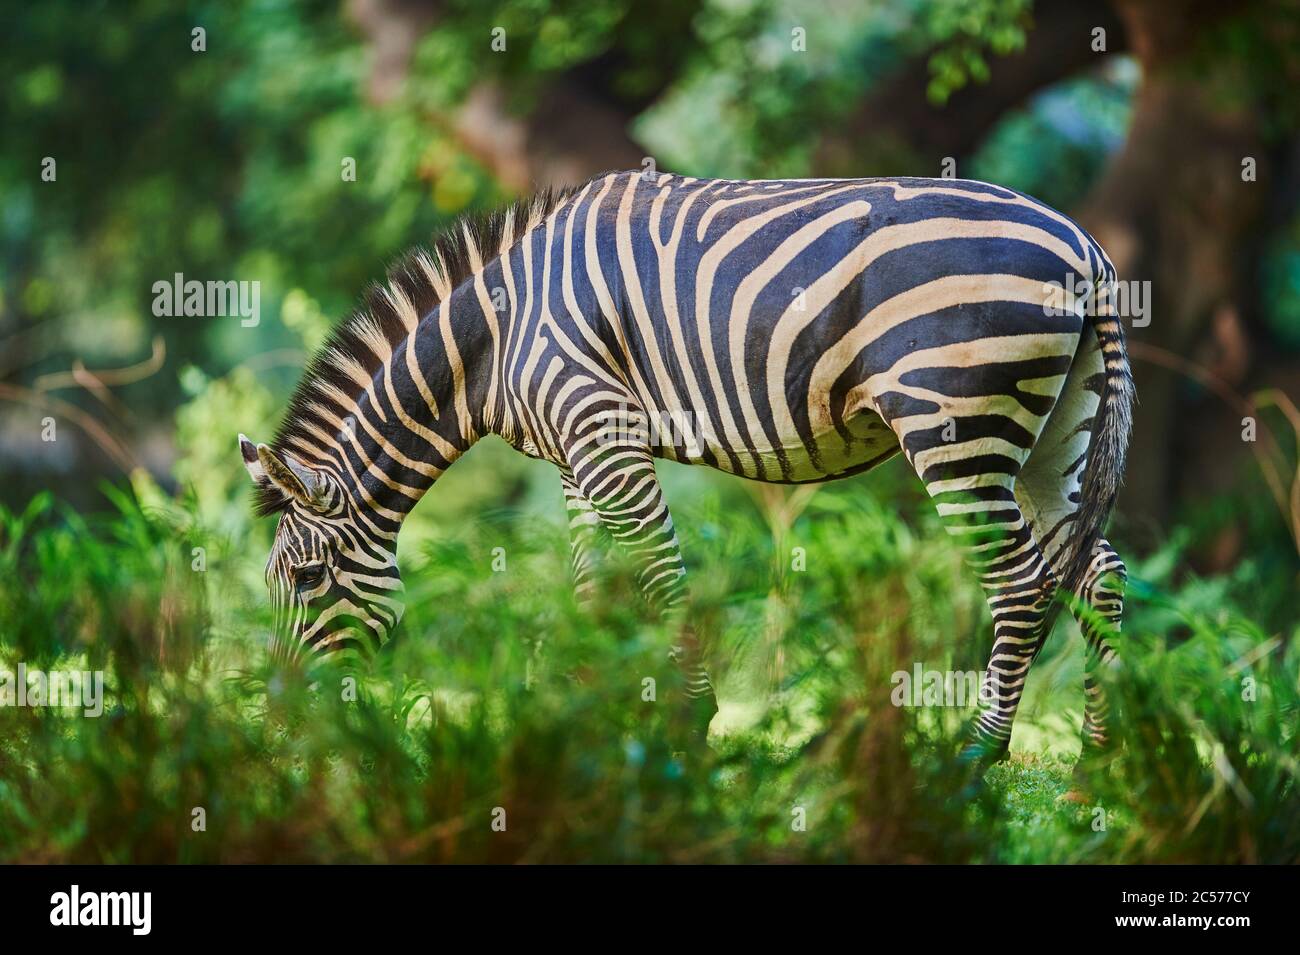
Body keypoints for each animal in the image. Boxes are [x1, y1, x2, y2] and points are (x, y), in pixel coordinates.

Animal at [239, 170, 1133, 769]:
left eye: (309, 580)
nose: (280, 730)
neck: (497, 336)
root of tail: (1084, 243)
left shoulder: (601, 428)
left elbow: (660, 577)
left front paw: (687, 724)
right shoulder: (572, 457)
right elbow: (593, 585)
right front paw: (593, 720)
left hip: (956, 425)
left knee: (1020, 582)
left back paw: (978, 759)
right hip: (1057, 432)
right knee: (1097, 570)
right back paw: (1107, 754)